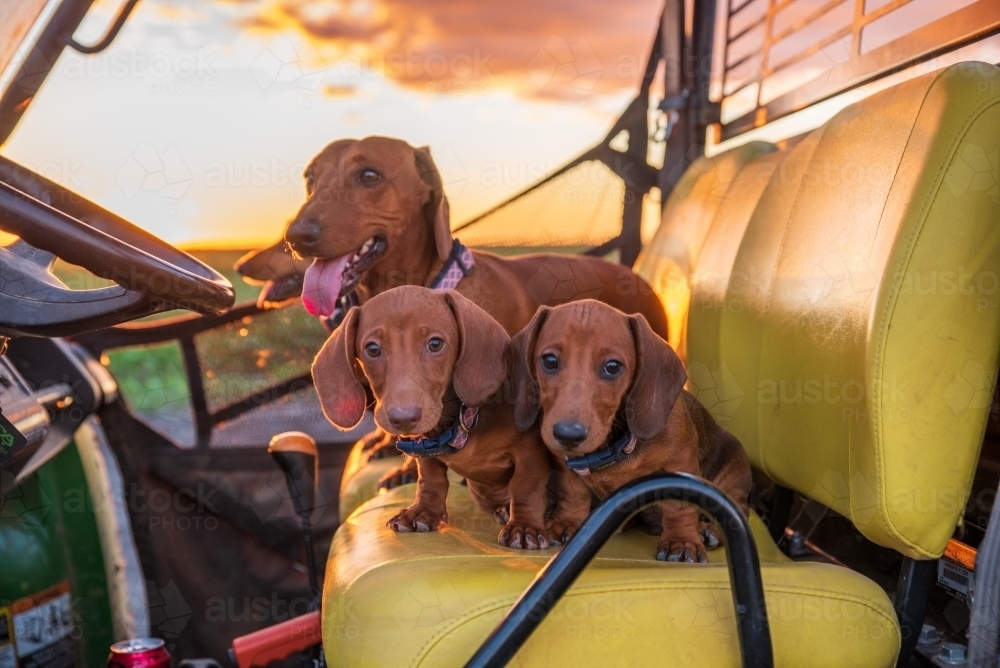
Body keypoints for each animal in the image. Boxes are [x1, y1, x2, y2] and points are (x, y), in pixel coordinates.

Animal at [314, 284, 564, 552]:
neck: (461, 422)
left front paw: (524, 527)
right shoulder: (426, 448)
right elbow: (431, 479)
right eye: (372, 349)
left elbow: (525, 487)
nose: (404, 418)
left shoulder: (531, 453)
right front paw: (423, 512)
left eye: (435, 344)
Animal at [508, 300, 752, 560]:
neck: (615, 446)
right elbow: (574, 493)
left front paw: (682, 541)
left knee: (739, 511)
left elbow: (679, 508)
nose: (568, 435)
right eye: (550, 360)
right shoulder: (566, 467)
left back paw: (709, 530)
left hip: (733, 470)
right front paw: (567, 521)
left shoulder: (680, 462)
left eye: (612, 366)